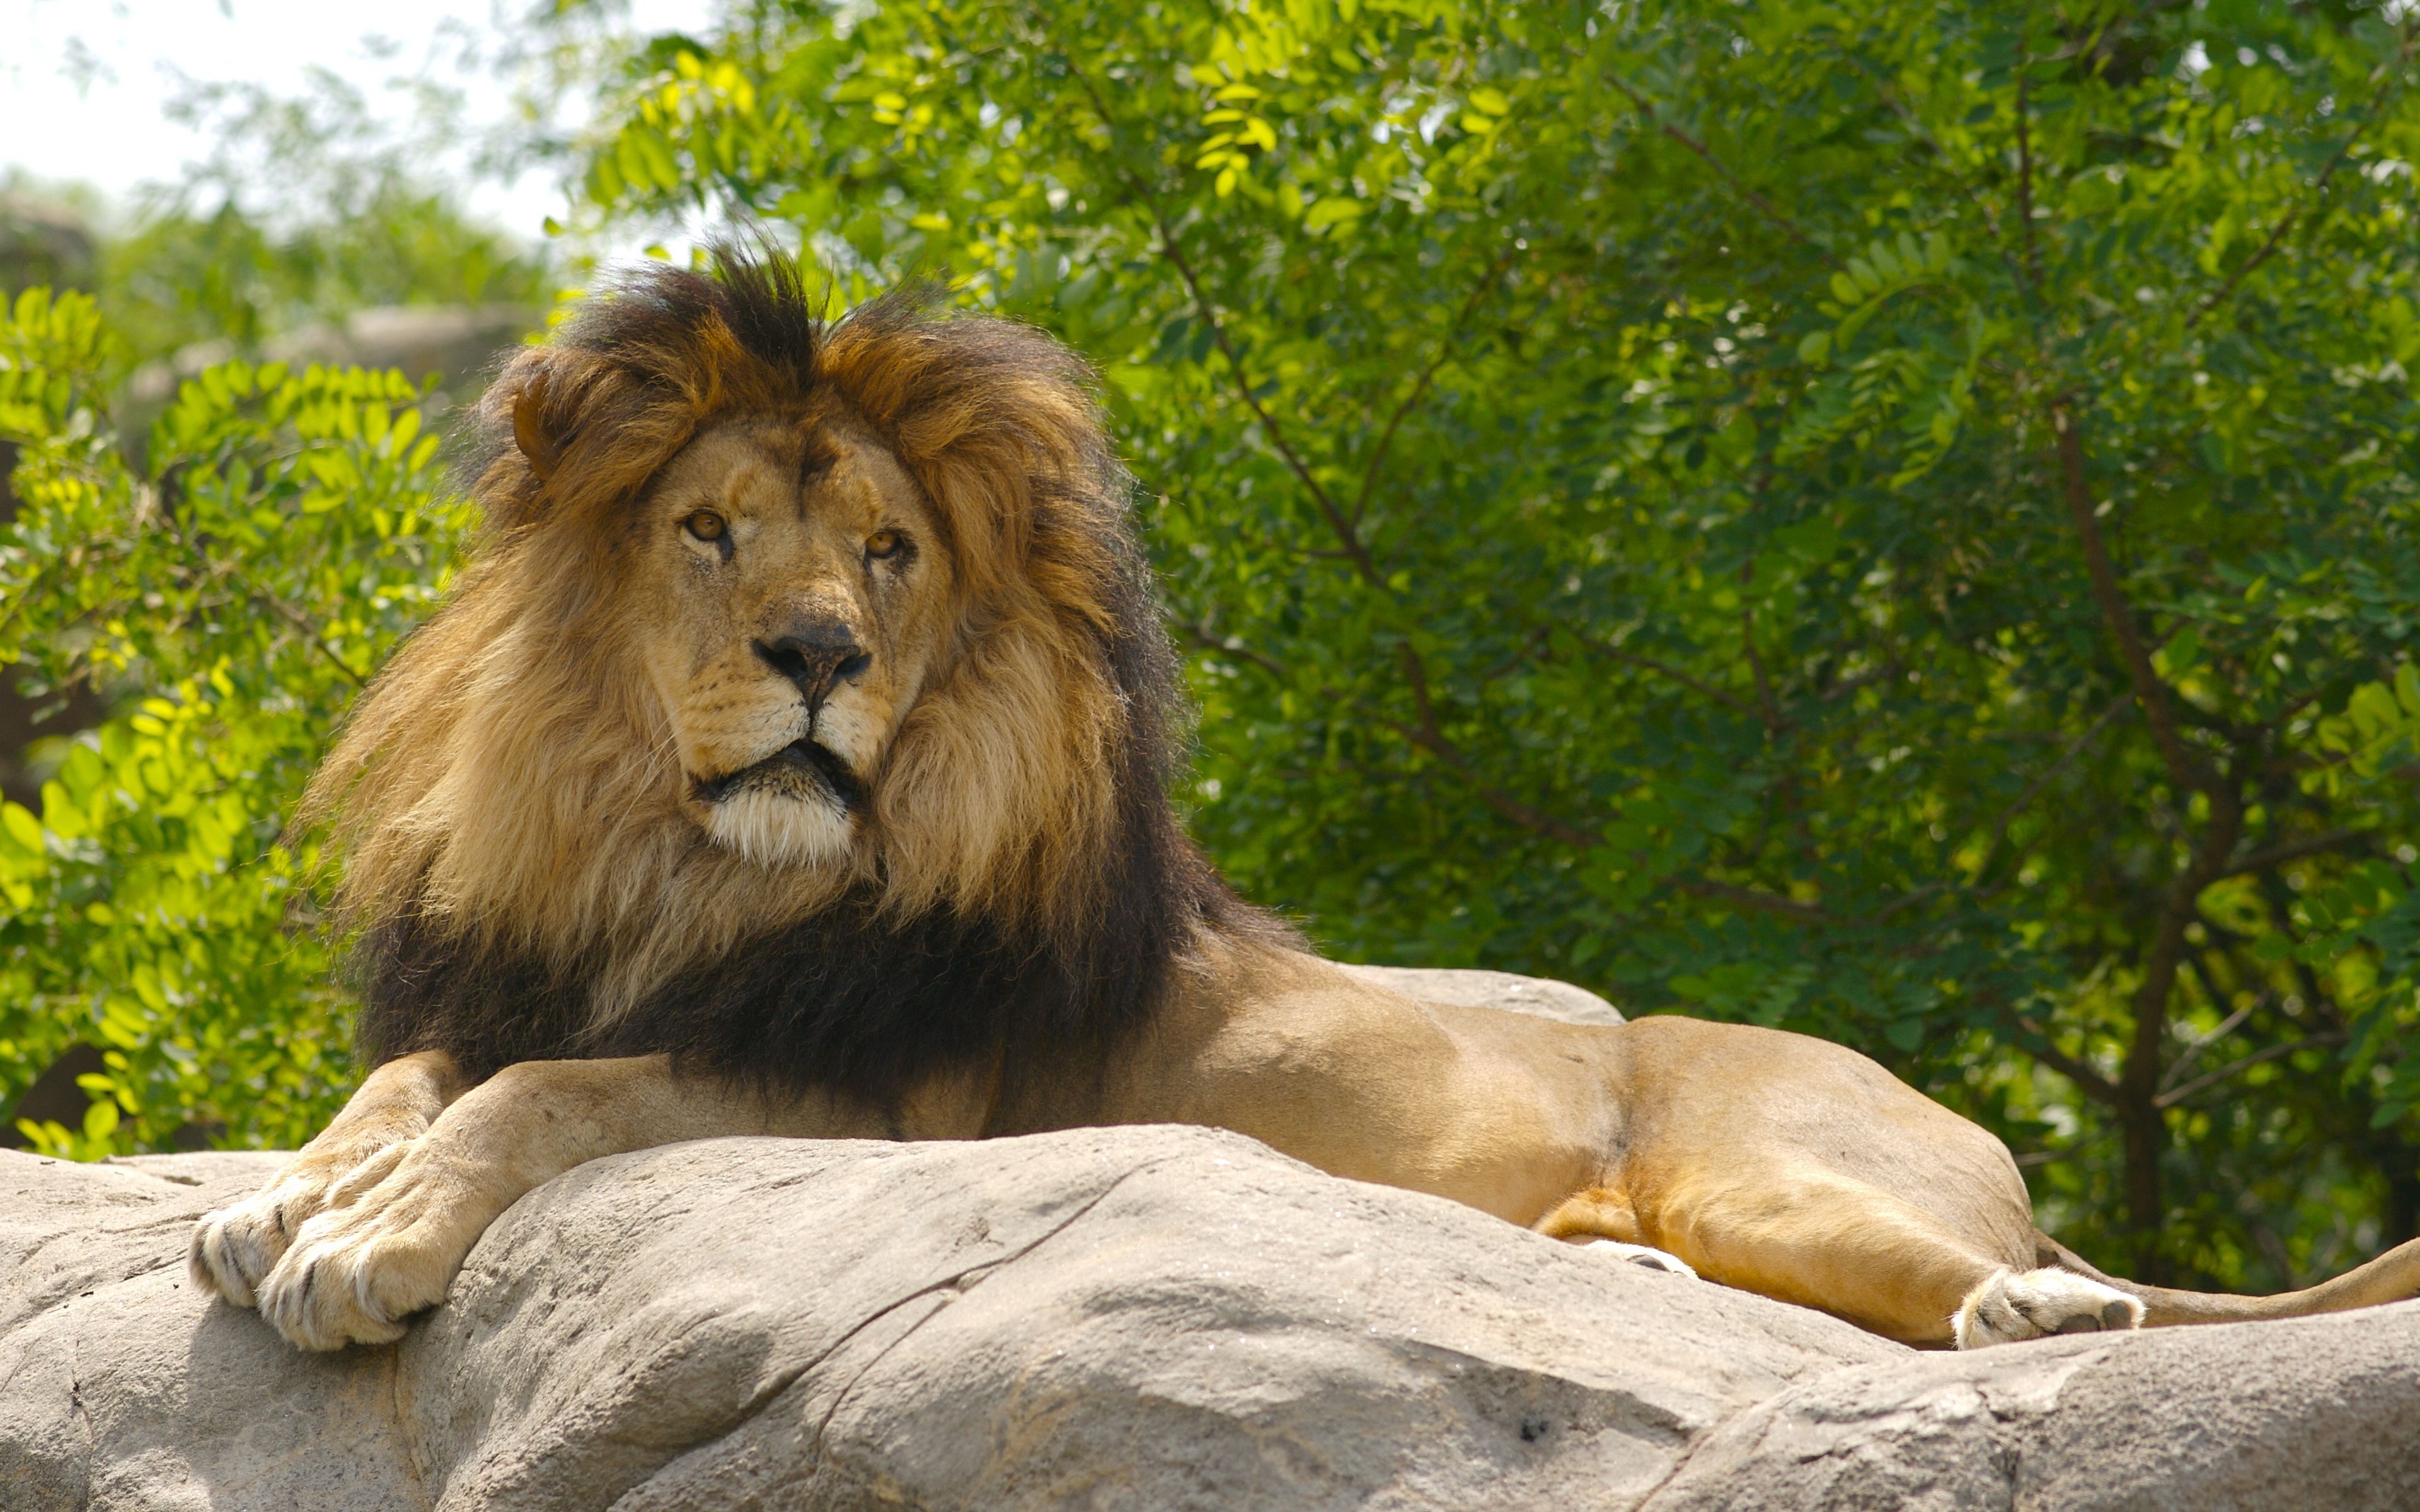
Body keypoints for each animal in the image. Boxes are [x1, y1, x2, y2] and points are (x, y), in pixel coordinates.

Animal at [183, 244, 2420, 1345]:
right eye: (711, 530)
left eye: (889, 554)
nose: (819, 654)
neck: (685, 868)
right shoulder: (530, 969)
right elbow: (414, 1079)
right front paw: (288, 1193)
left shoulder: (880, 1096)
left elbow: (545, 1100)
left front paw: (364, 1243)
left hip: (1782, 1167)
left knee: (2062, 1296)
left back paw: (2039, 1299)